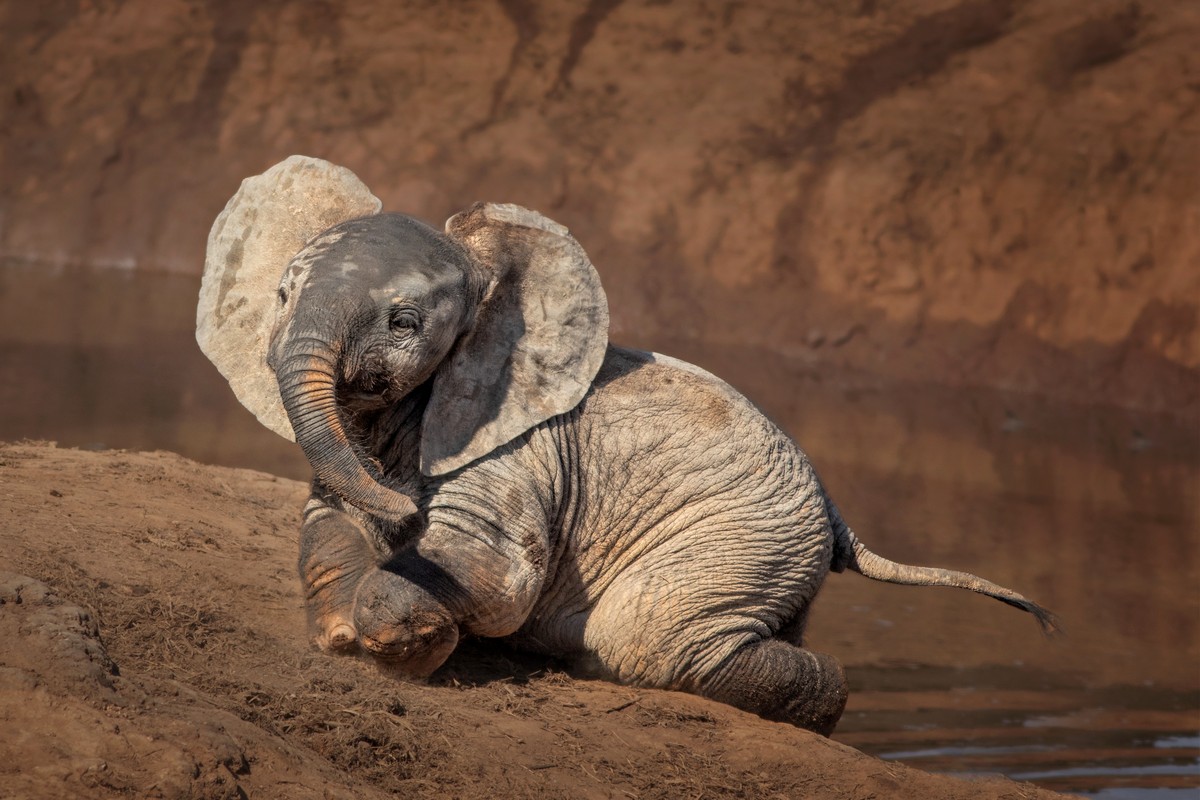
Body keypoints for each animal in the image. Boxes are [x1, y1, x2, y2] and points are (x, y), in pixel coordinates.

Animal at [194, 153, 1051, 734]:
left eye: (405, 323)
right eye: (280, 296)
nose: (405, 509)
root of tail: (837, 516)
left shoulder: (520, 452)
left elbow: (495, 573)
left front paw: (415, 639)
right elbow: (326, 525)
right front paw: (343, 627)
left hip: (744, 539)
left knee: (645, 640)